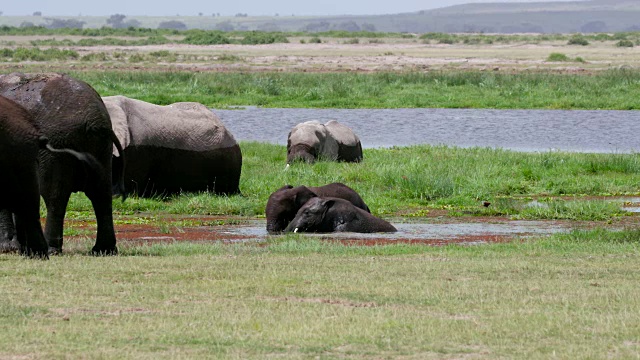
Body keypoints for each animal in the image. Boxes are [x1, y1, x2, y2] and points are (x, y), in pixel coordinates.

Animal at [0, 71, 126, 255]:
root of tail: (94, 121)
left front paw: (9, 248)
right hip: (101, 149)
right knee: (101, 194)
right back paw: (103, 250)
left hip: (58, 145)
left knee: (54, 196)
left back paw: (51, 248)